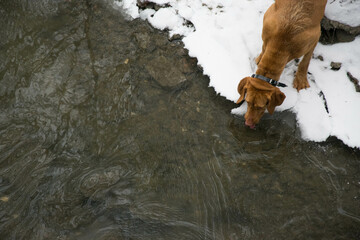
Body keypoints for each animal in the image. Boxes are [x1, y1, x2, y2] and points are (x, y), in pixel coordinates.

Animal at [238, 0, 328, 129]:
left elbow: (305, 61)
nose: (248, 123)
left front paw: (301, 79)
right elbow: (263, 48)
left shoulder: (315, 37)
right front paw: (260, 58)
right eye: (248, 101)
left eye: (261, 106)